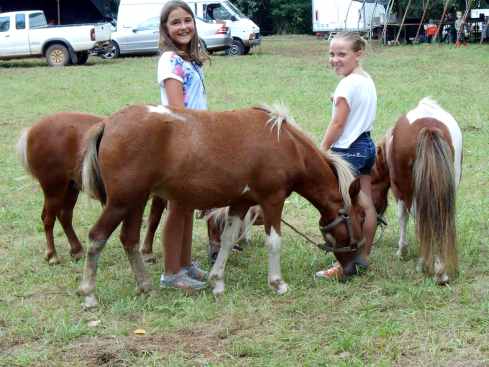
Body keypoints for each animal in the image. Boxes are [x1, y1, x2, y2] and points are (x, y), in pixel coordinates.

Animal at [16, 113, 166, 266]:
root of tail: (31, 131)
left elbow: (155, 220)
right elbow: (153, 220)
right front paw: (147, 252)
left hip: (71, 187)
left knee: (64, 215)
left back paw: (76, 250)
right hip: (54, 188)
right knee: (48, 219)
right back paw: (52, 254)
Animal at [370, 98, 462, 284]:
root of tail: (429, 126)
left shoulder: (399, 193)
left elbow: (402, 218)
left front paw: (402, 251)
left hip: (411, 195)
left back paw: (428, 265)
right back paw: (441, 270)